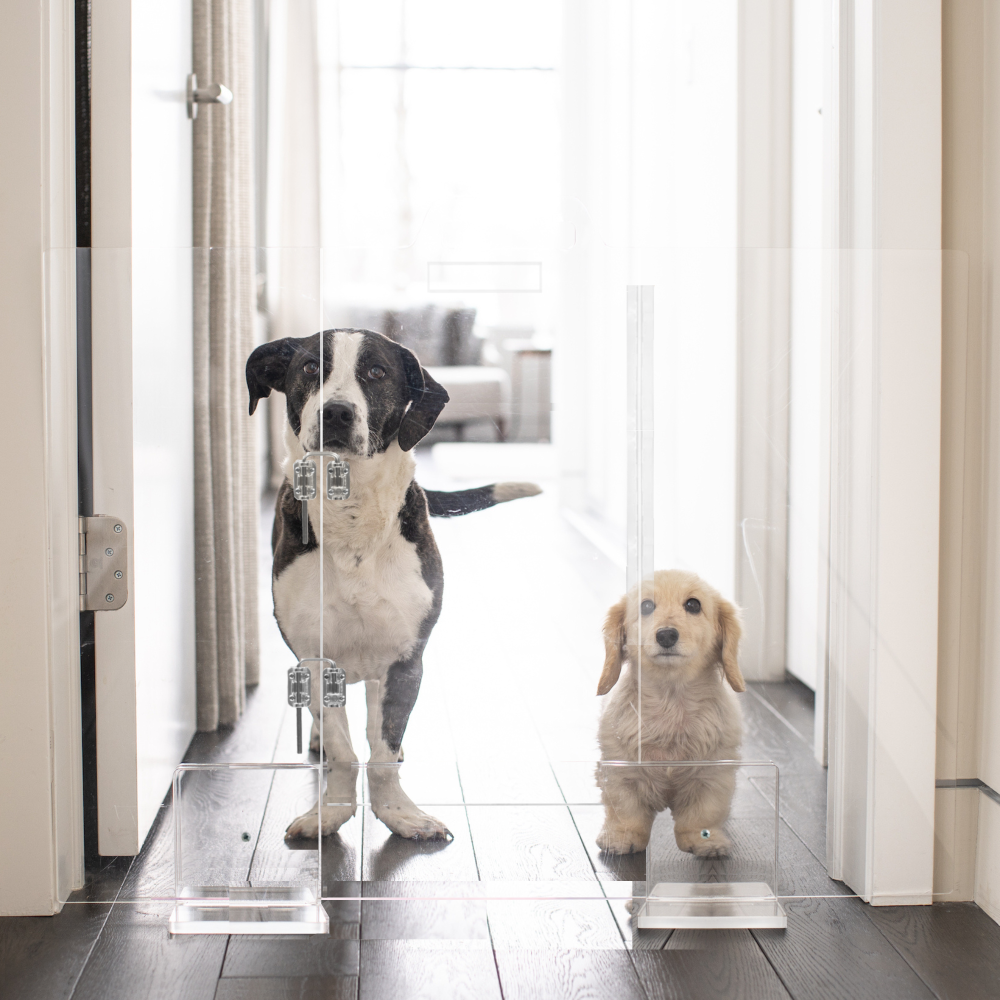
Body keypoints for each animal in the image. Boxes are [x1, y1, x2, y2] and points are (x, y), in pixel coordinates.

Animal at [244, 332, 540, 840]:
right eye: (309, 367)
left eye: (377, 372)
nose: (336, 413)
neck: (350, 516)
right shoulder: (316, 657)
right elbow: (344, 750)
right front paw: (330, 814)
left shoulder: (406, 658)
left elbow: (382, 748)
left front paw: (400, 814)